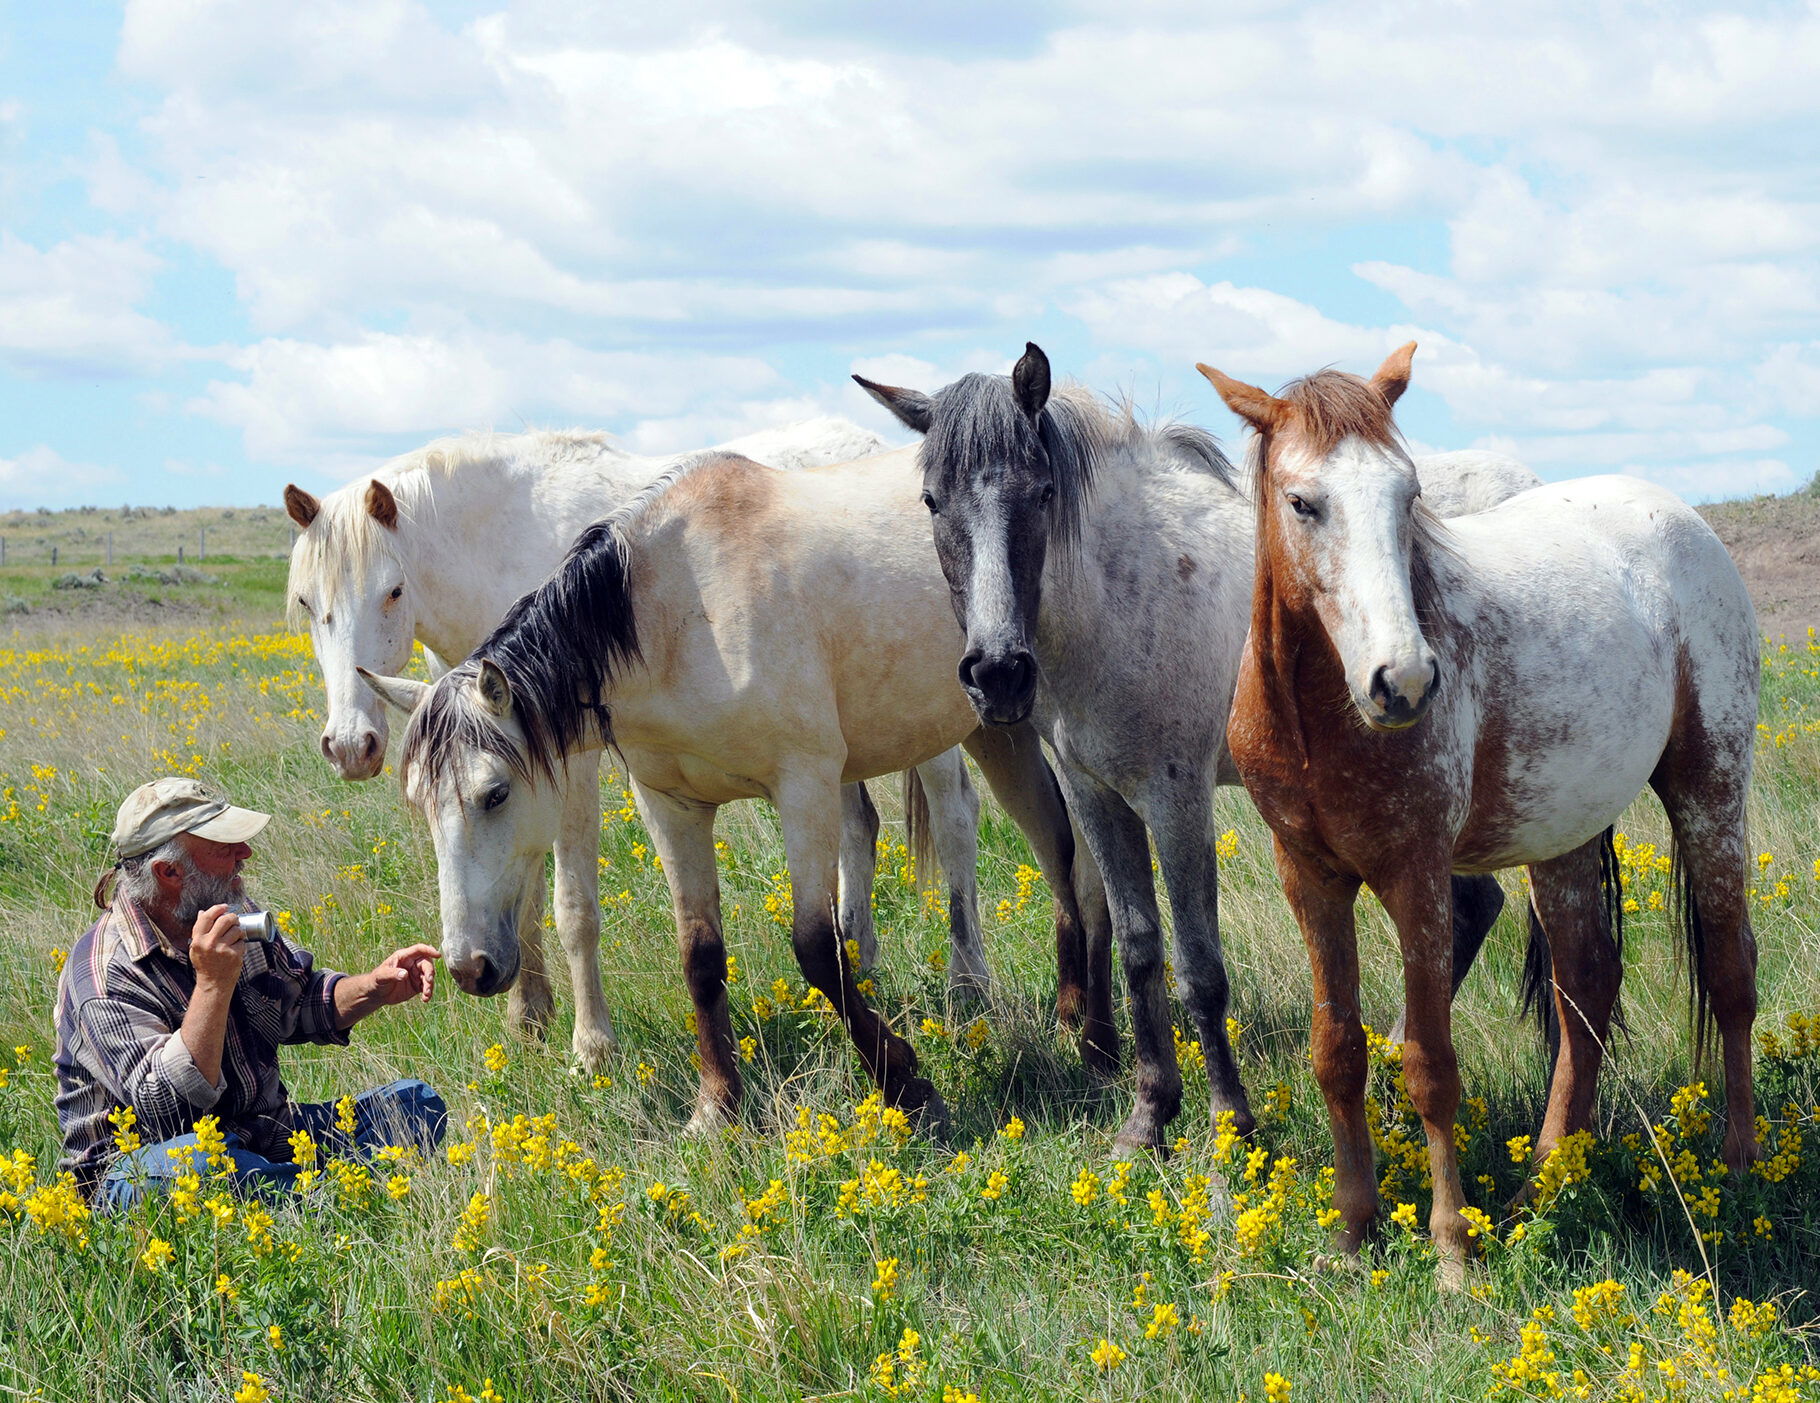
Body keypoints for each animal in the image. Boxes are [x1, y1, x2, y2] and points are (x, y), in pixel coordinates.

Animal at [286, 425, 1112, 1072]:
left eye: (392, 590)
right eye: (306, 602)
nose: (349, 744)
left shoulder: (570, 765)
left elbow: (571, 905)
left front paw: (592, 1044)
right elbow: (518, 893)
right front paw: (529, 1016)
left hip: (938, 730)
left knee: (958, 819)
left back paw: (969, 985)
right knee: (863, 828)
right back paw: (863, 958)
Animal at [855, 346, 1540, 1155]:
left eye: (1043, 492)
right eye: (933, 501)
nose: (997, 673)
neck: (1120, 592)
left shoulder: (1177, 800)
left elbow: (1200, 969)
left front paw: (1231, 1125)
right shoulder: (1096, 794)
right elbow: (1139, 946)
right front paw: (1149, 1115)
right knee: (1472, 904)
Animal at [1200, 343, 1759, 1285]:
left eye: (1408, 494)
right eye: (1303, 501)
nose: (1404, 681)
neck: (1320, 714)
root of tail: (1682, 519)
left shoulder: (1417, 877)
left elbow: (1429, 1064)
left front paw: (1451, 1249)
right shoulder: (1308, 876)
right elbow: (1337, 1050)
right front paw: (1351, 1232)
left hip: (1711, 789)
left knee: (1729, 971)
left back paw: (1741, 1165)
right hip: (1564, 836)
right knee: (1586, 986)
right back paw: (1544, 1182)